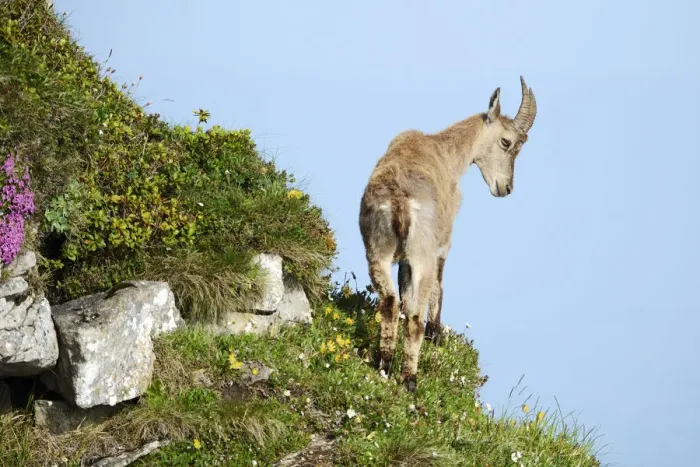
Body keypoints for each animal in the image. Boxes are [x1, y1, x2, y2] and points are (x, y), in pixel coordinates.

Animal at [358, 76, 537, 392]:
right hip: (423, 255)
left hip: (377, 250)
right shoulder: (442, 246)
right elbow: (439, 288)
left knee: (390, 302)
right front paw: (437, 335)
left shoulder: (403, 258)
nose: (505, 188)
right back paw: (410, 378)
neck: (444, 151)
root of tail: (399, 199)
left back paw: (385, 366)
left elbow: (404, 290)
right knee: (415, 316)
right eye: (507, 142)